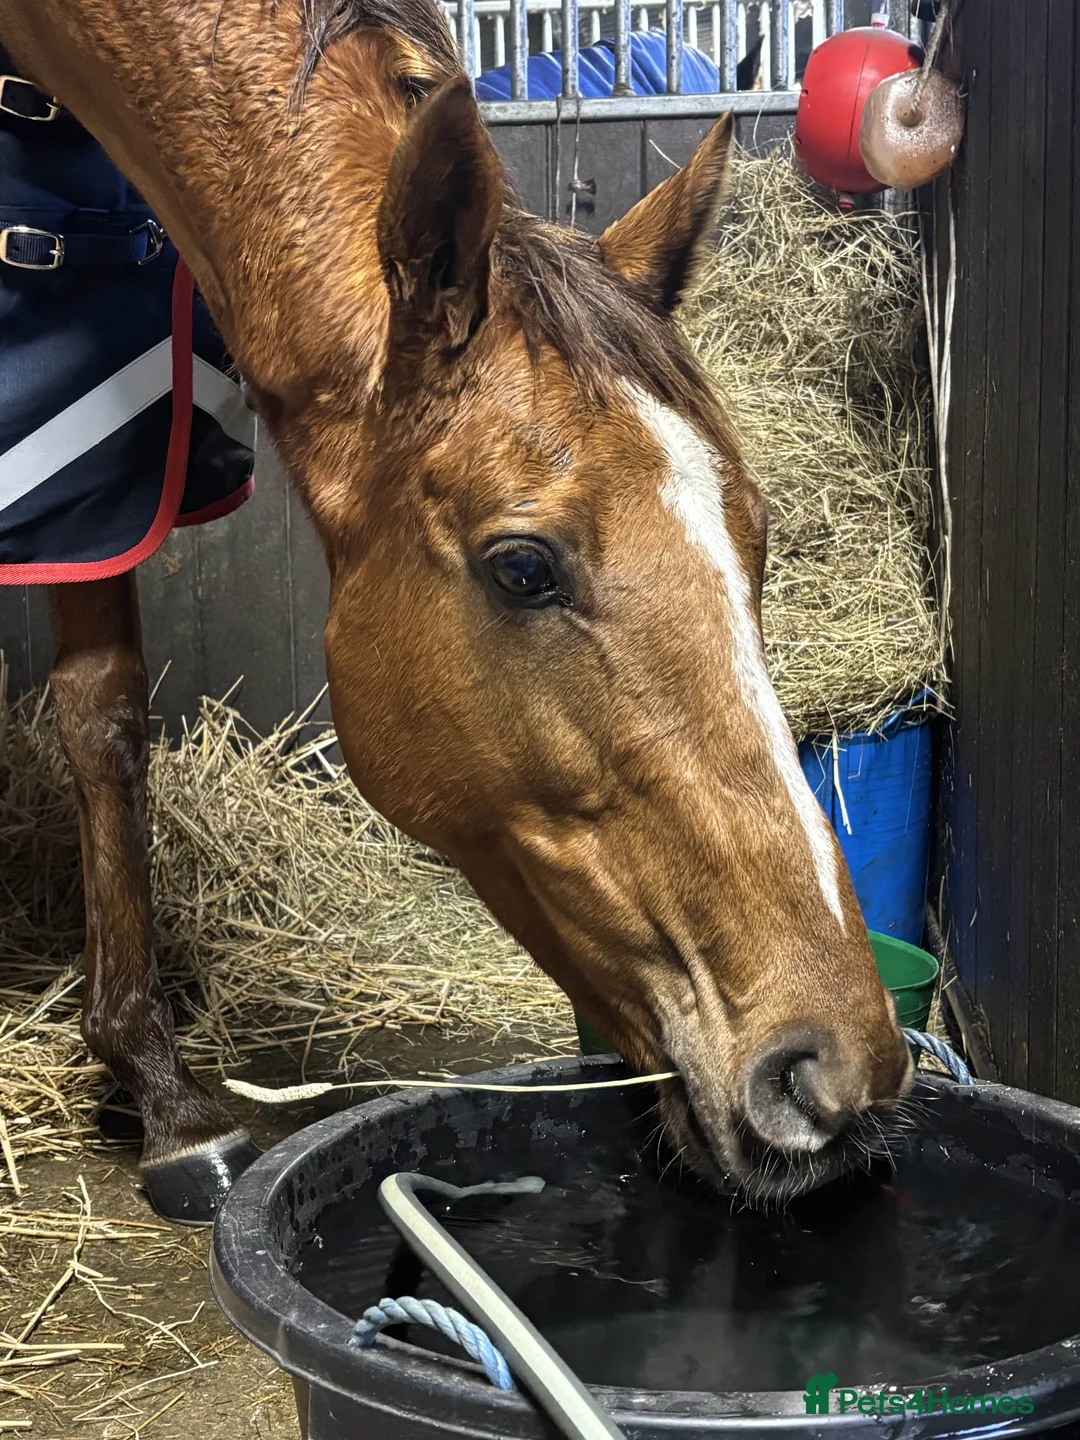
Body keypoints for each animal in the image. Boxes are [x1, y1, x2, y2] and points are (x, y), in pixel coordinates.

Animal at [0, 0, 911, 1223]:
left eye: (757, 538)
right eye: (522, 569)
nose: (838, 1070)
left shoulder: (116, 454)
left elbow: (103, 714)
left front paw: (154, 1089)